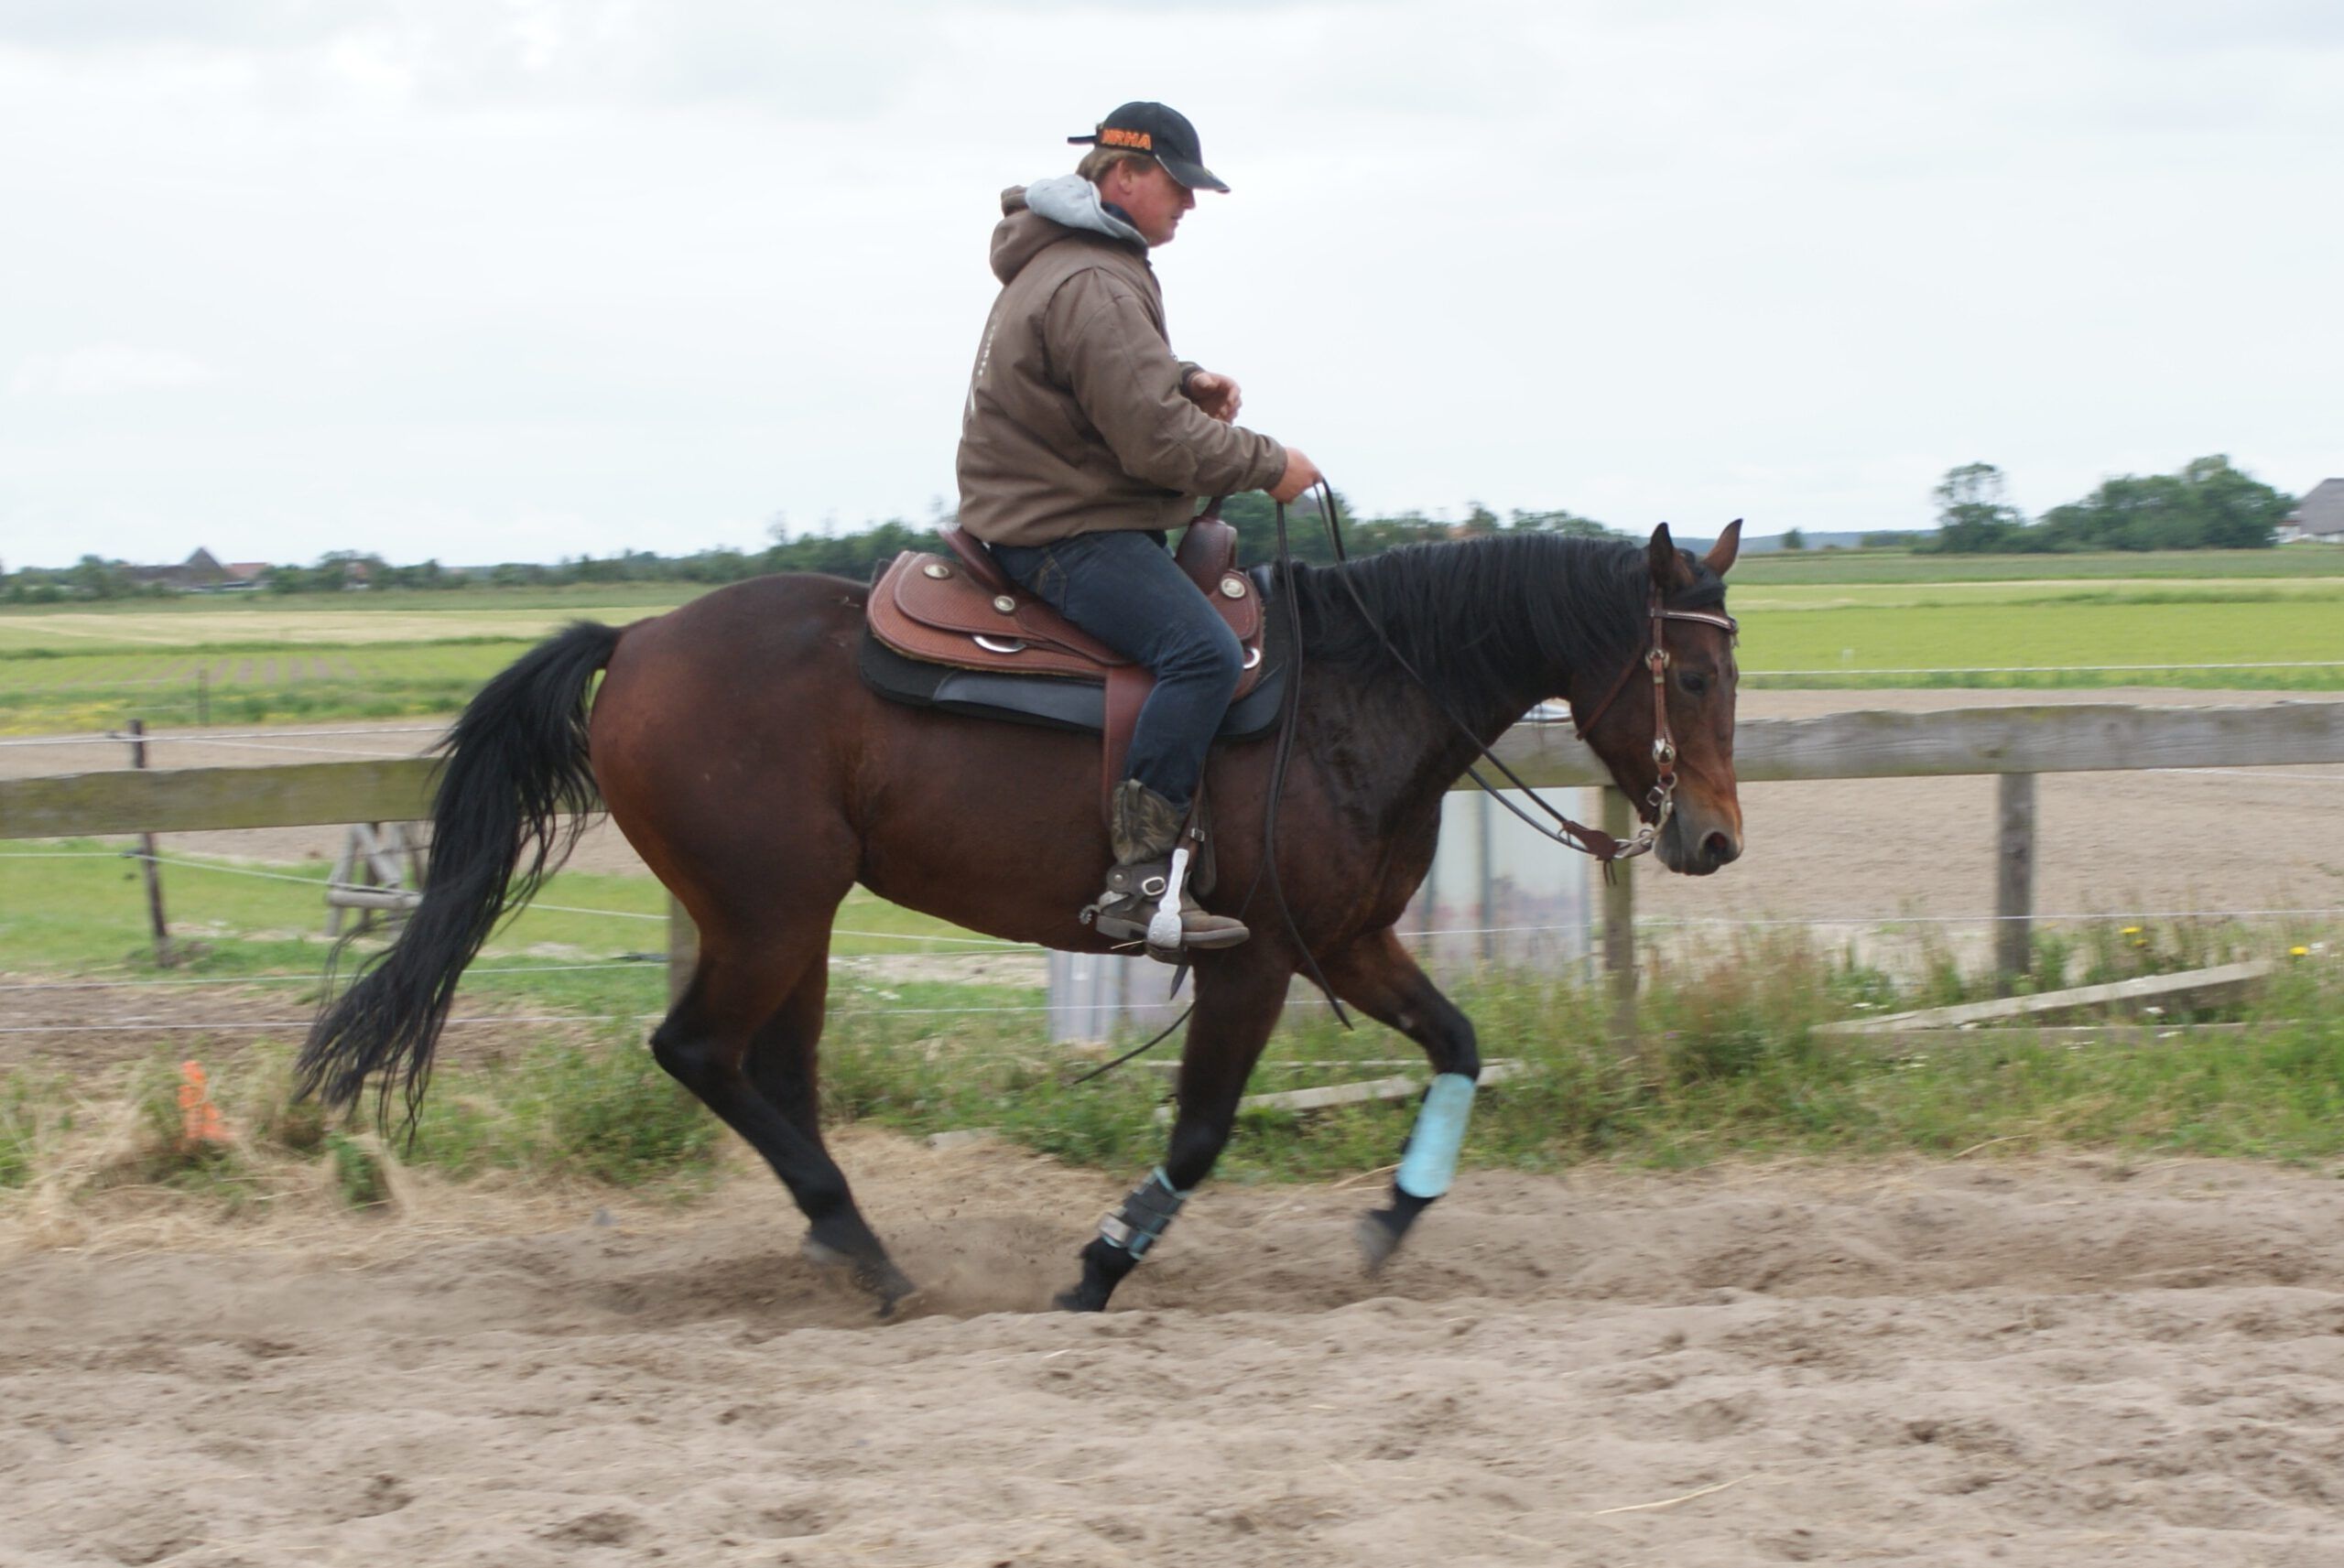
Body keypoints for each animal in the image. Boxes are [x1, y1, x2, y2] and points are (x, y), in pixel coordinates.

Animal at [298, 523, 1743, 1312]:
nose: (1715, 838)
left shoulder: (1349, 940)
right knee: (700, 1051)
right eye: (1687, 671)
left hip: (796, 926)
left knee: (774, 1068)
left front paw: (1395, 1215)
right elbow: (1203, 1130)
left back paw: (843, 1240)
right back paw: (866, 1252)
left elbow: (1456, 1044)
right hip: (767, 915)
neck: (1358, 691)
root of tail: (640, 639)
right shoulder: (1258, 959)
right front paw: (1102, 1262)